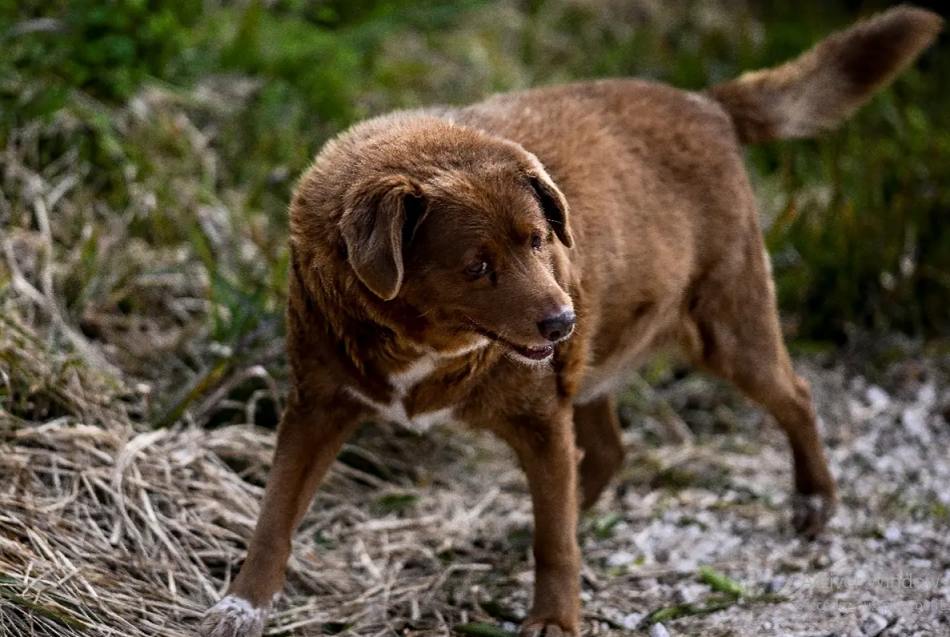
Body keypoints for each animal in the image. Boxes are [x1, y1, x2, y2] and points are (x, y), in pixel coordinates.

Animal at [203, 6, 944, 636]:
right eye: (477, 265)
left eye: (538, 240)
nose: (560, 319)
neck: (424, 345)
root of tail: (707, 104)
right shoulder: (317, 404)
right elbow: (274, 512)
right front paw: (243, 603)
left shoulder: (538, 416)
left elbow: (553, 539)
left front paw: (555, 618)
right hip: (595, 358)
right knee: (606, 453)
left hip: (725, 328)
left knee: (794, 394)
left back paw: (814, 499)